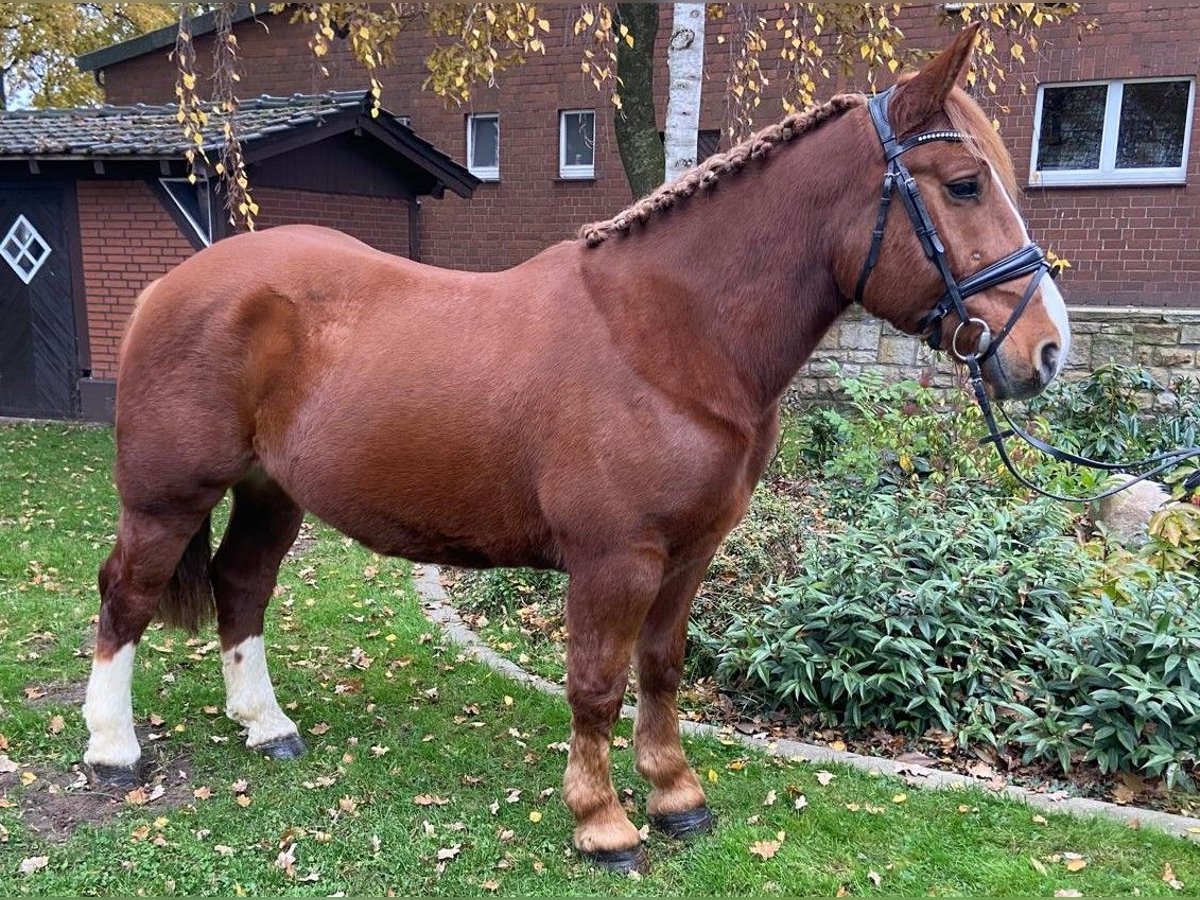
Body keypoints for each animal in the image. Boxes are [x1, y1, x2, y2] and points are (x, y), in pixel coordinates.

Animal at [84, 30, 1070, 873]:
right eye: (964, 184)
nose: (1046, 349)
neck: (668, 337)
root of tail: (170, 287)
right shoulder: (614, 560)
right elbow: (596, 685)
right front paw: (604, 823)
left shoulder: (689, 555)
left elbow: (661, 669)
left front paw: (676, 797)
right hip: (167, 496)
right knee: (126, 593)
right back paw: (112, 747)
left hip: (269, 490)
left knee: (243, 585)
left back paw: (266, 725)